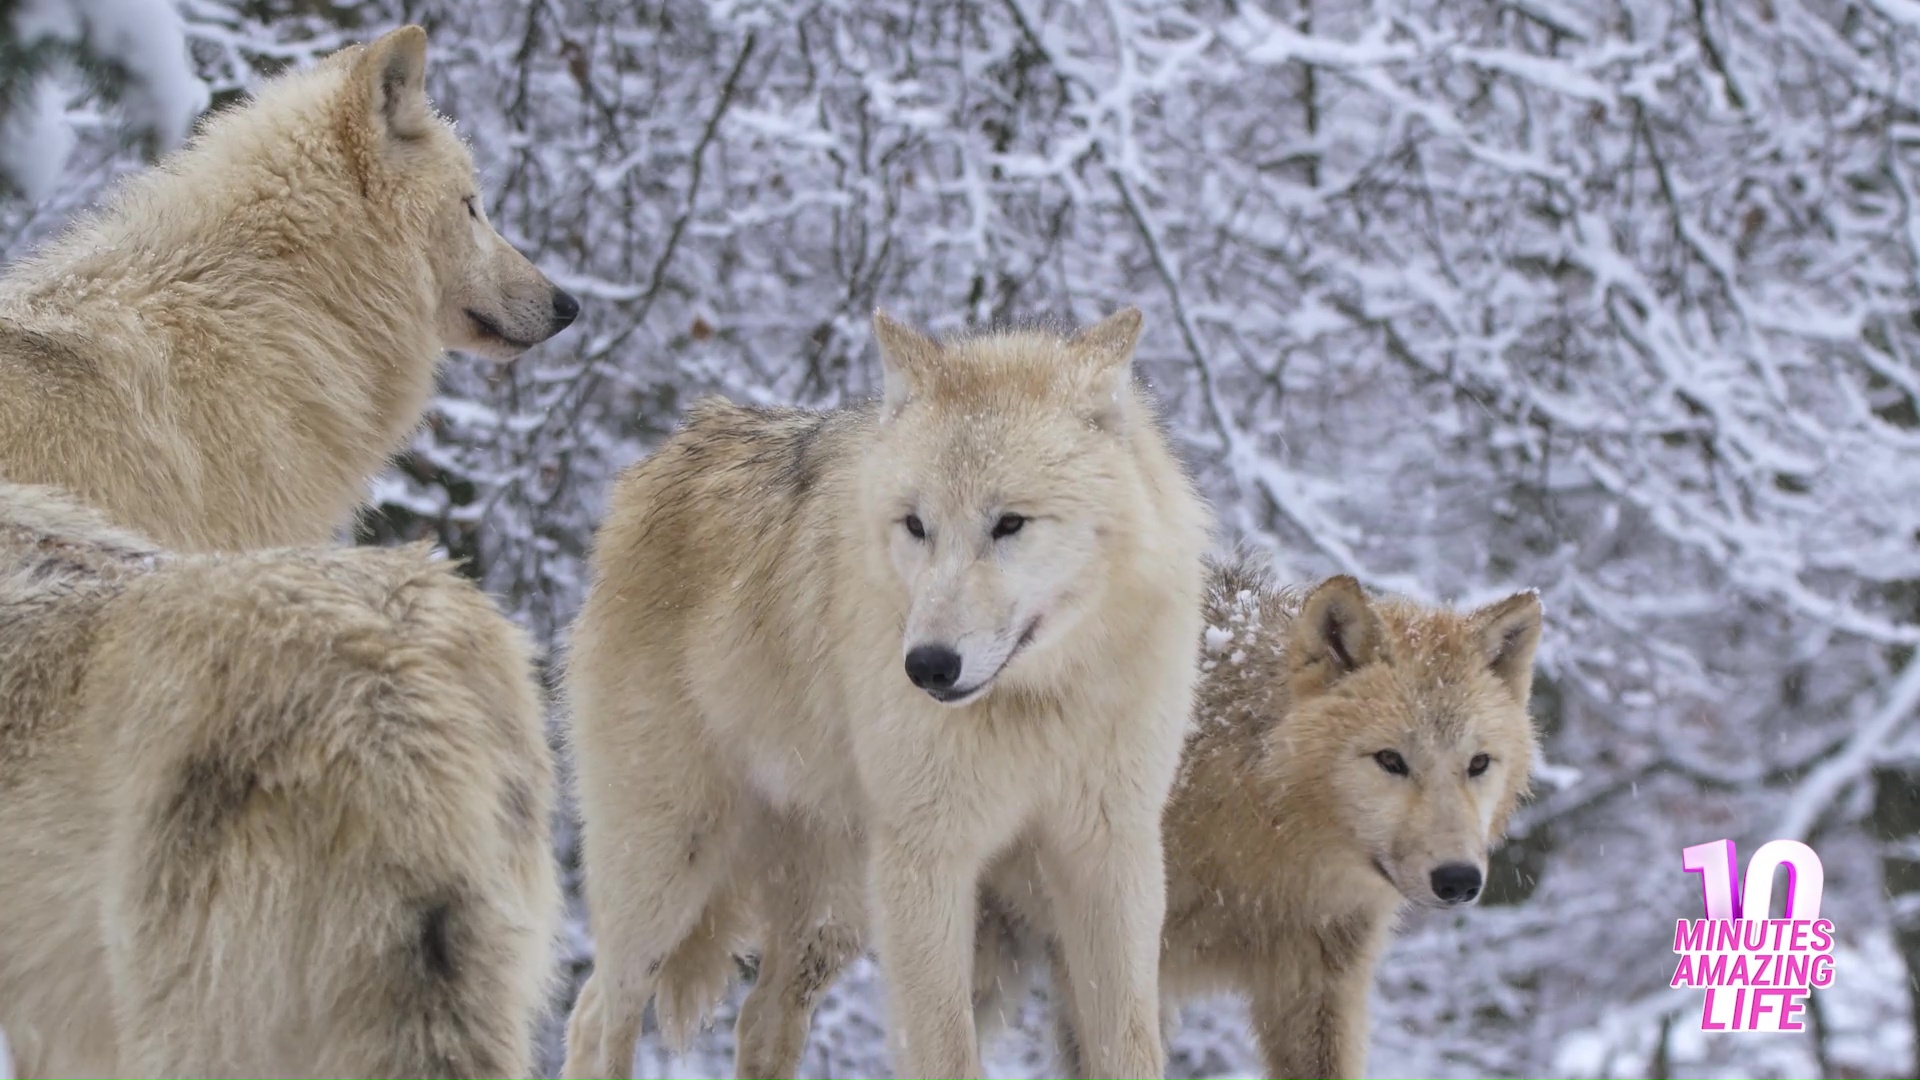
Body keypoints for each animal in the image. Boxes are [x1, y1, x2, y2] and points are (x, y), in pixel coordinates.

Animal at [560, 308, 1212, 1080]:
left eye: (1010, 523)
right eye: (916, 525)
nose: (927, 666)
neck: (1040, 701)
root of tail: (661, 457)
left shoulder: (1111, 856)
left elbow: (1131, 1045)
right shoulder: (930, 861)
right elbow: (946, 1051)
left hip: (833, 912)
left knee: (758, 1018)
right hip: (668, 868)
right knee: (599, 1009)